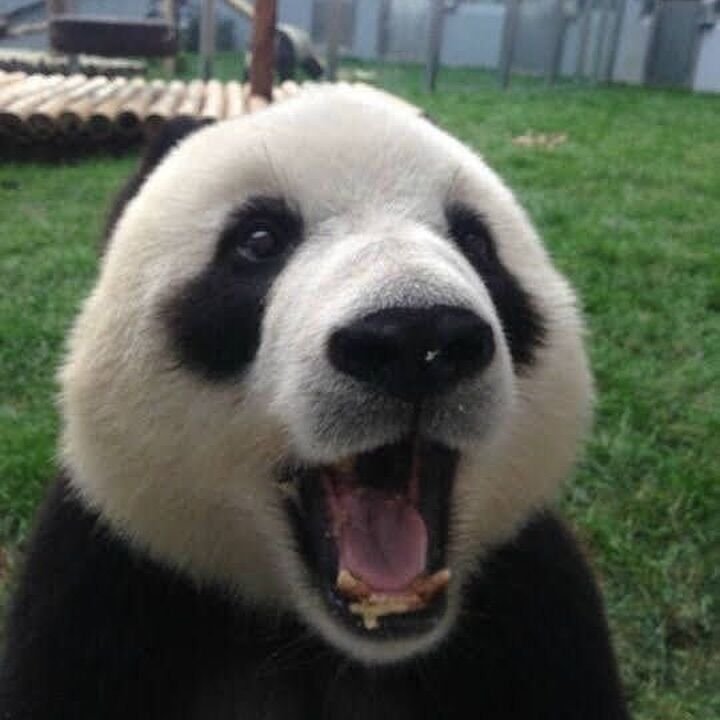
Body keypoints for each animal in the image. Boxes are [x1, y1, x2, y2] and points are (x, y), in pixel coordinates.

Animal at [0, 85, 629, 719]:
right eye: (258, 240)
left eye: (475, 241)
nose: (416, 338)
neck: (328, 641)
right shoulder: (102, 592)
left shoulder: (534, 615)